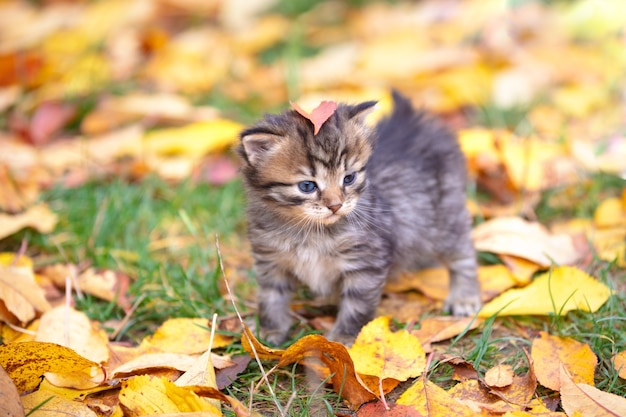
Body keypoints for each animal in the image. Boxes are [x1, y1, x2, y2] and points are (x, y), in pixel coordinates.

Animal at [235, 90, 478, 344]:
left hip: (447, 217)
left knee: (463, 254)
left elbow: (357, 305)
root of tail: (411, 121)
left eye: (349, 178)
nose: (335, 205)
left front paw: (342, 340)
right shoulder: (270, 260)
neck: (310, 230)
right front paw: (267, 333)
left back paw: (464, 297)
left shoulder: (366, 262)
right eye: (307, 186)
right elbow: (271, 297)